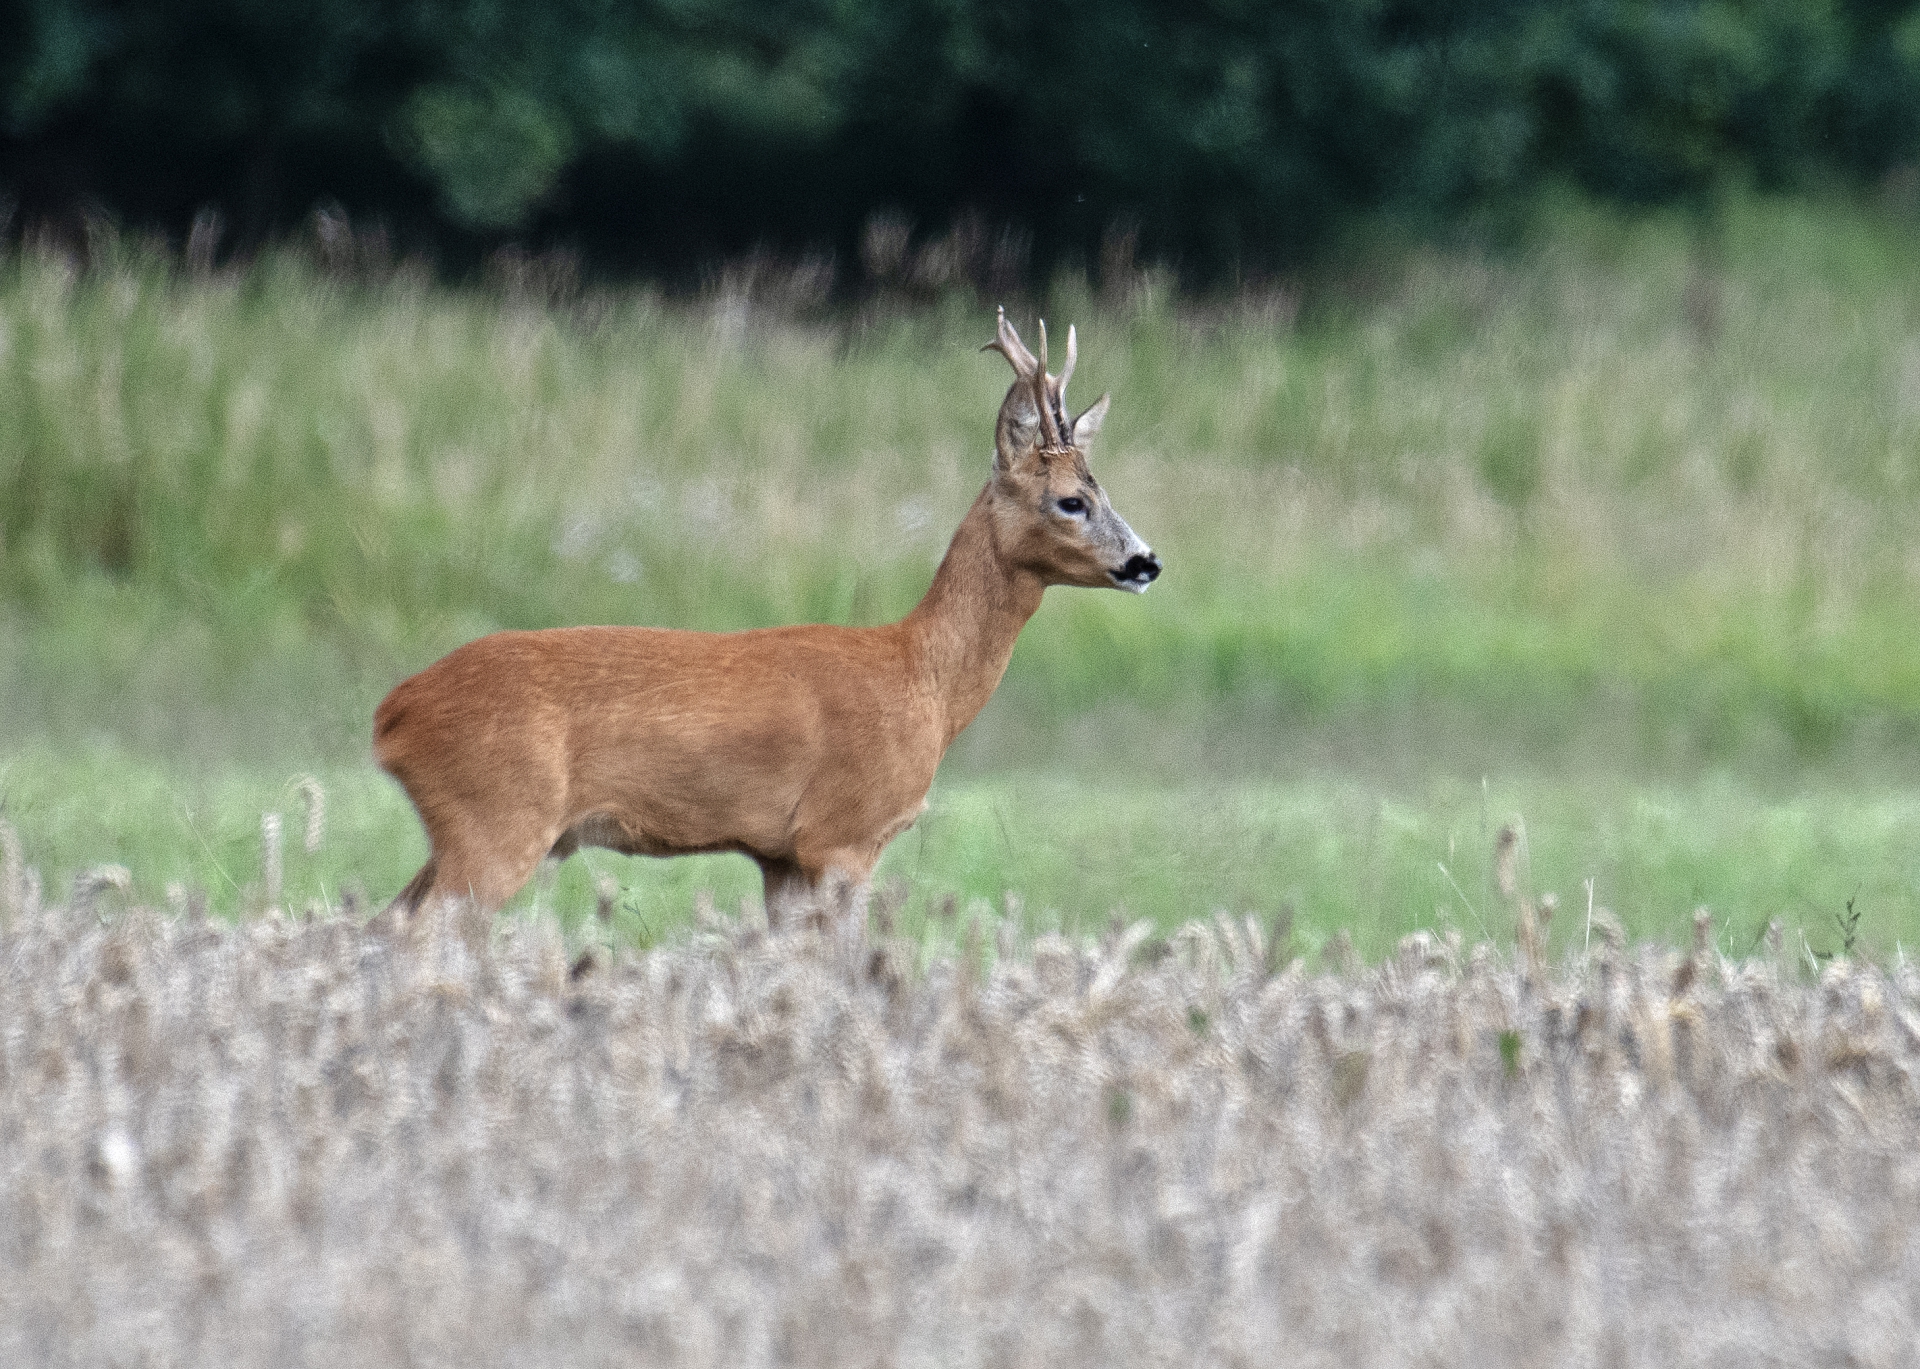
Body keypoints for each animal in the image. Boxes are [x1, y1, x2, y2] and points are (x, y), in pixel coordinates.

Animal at [370, 305, 1152, 933]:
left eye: (1102, 490)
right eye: (1072, 500)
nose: (1146, 561)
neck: (921, 676)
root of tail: (393, 711)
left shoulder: (781, 855)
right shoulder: (843, 834)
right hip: (497, 819)